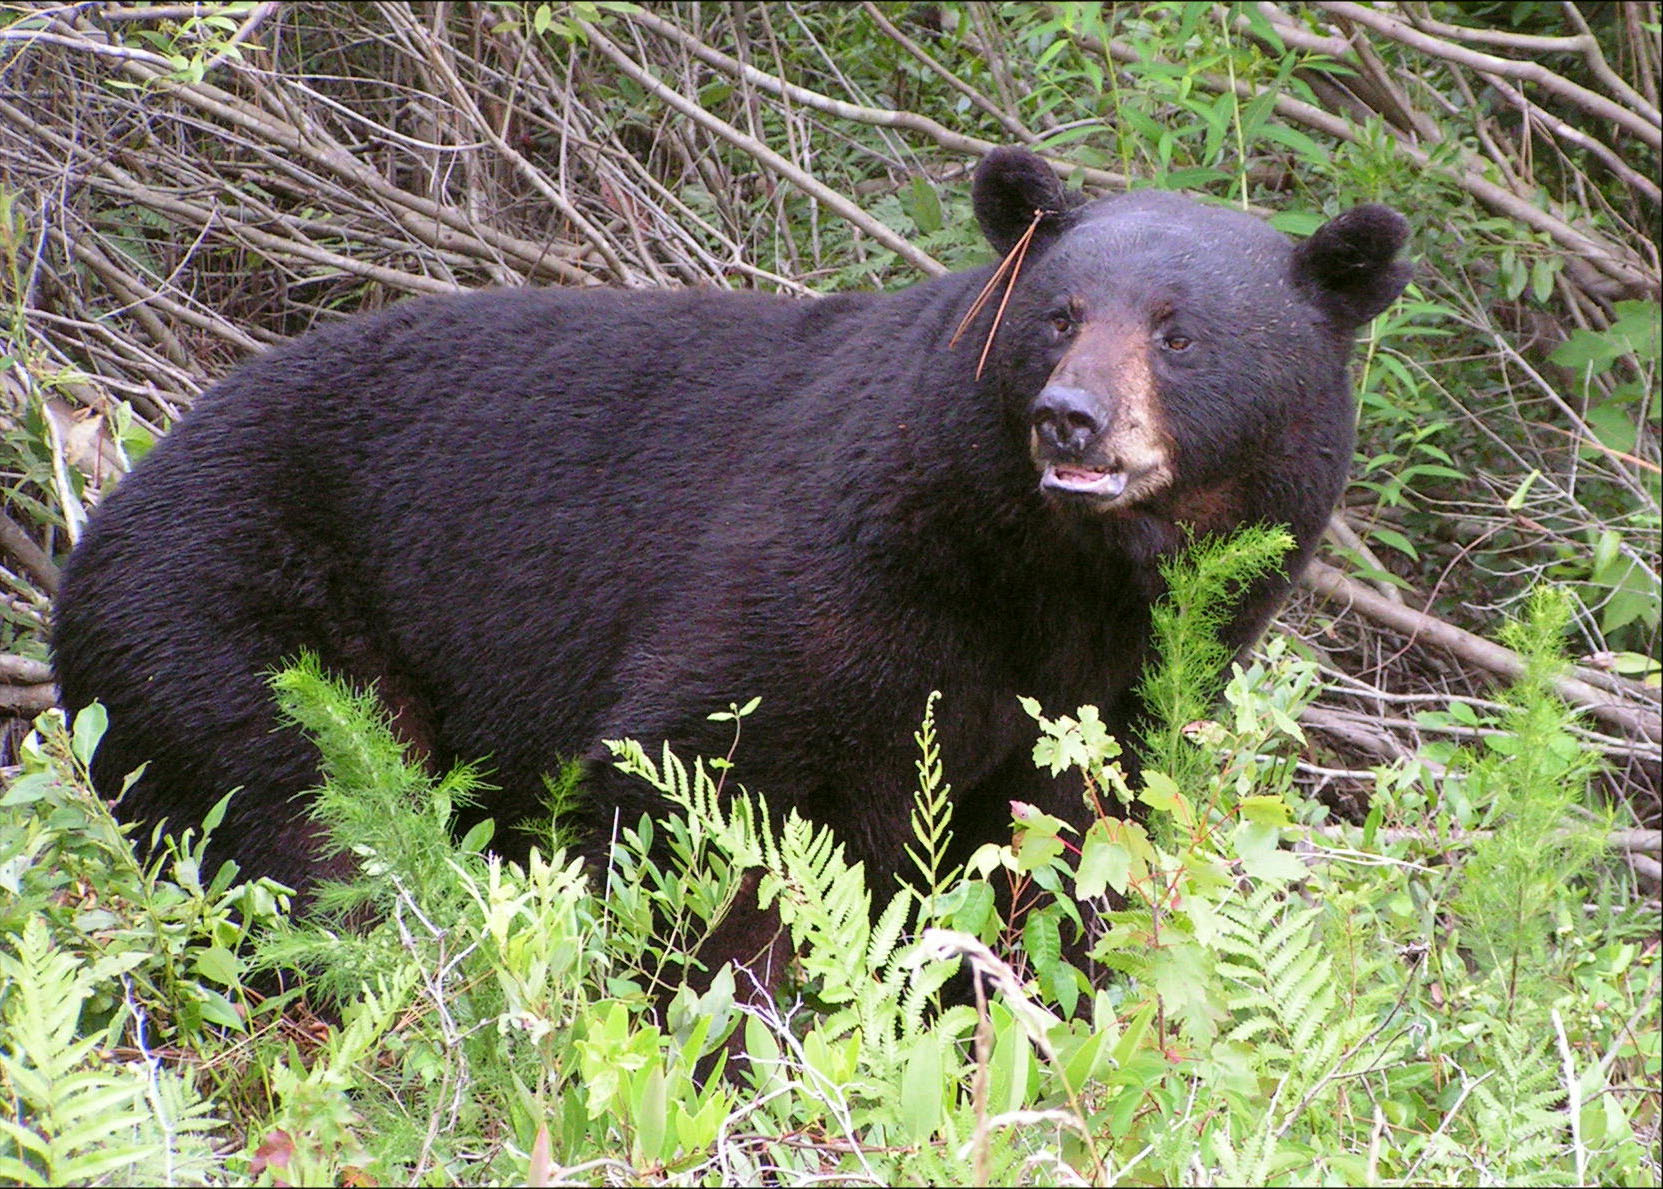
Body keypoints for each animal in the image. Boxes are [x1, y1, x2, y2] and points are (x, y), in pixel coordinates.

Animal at [51, 146, 1410, 964]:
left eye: (1178, 334)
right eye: (1057, 315)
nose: (1067, 419)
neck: (1055, 570)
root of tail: (102, 515)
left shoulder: (1126, 679)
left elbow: (1069, 842)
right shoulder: (847, 561)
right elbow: (706, 766)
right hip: (225, 606)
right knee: (307, 811)